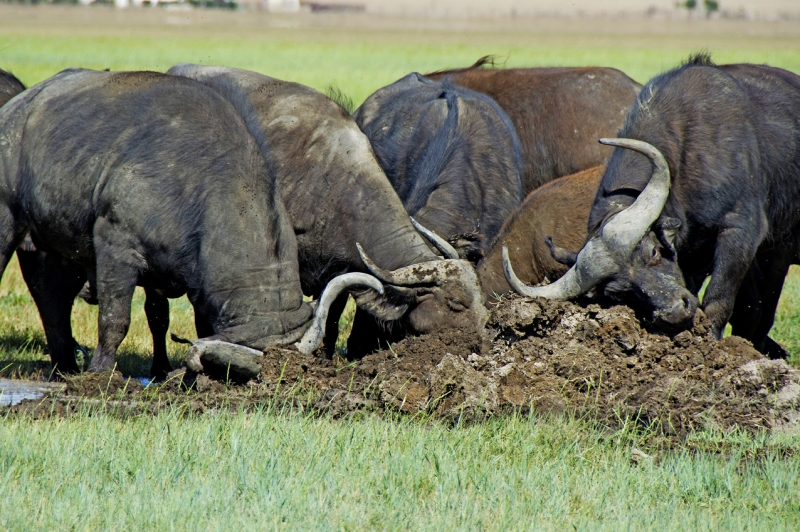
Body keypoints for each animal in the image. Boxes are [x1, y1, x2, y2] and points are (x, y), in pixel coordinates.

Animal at [0, 67, 380, 374]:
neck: (198, 182)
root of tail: (19, 106)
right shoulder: (116, 249)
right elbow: (115, 318)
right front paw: (101, 373)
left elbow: (174, 320)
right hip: (9, 218)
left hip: (54, 242)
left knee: (51, 297)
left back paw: (63, 368)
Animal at [167, 66, 488, 356]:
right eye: (456, 304)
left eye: (480, 297)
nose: (486, 341)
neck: (332, 184)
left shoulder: (338, 272)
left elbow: (330, 318)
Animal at [506, 55, 800, 358]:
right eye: (619, 292)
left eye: (653, 251)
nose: (674, 313)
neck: (681, 153)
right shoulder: (691, 258)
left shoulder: (740, 232)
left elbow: (717, 300)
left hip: (779, 248)